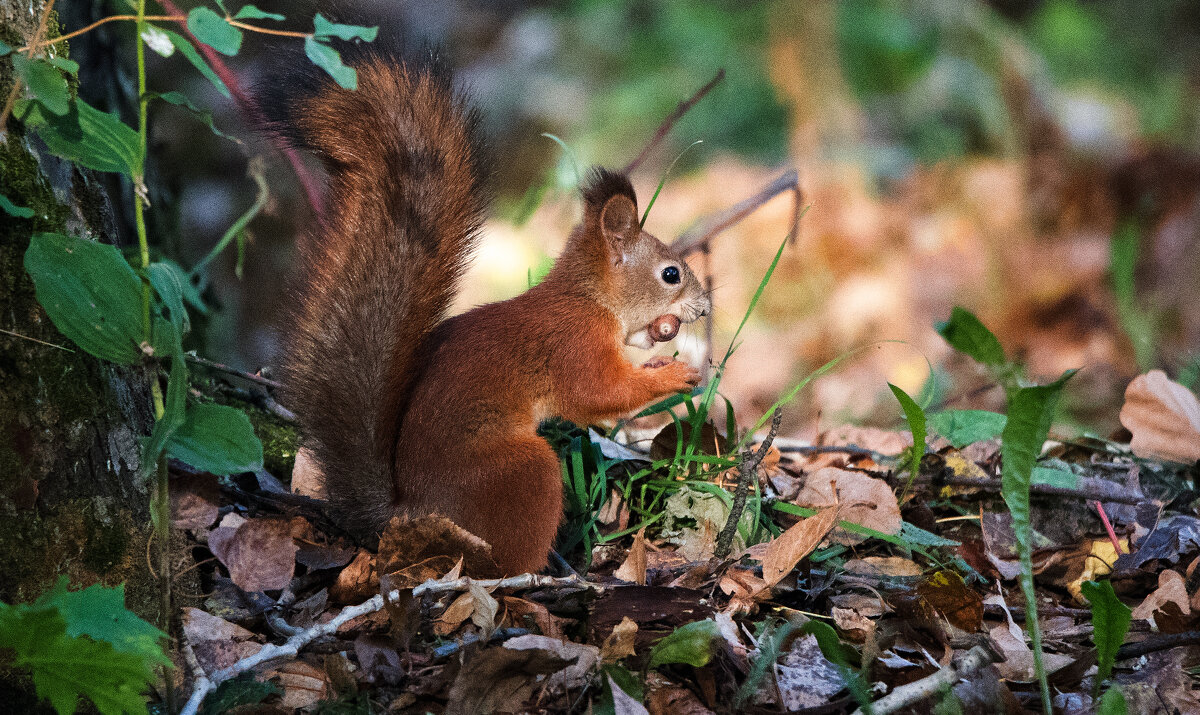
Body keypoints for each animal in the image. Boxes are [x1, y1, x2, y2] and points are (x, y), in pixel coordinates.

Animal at [267, 48, 705, 575]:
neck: (586, 298)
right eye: (671, 274)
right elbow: (597, 394)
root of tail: (409, 515)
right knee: (503, 558)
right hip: (522, 471)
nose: (705, 306)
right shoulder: (574, 343)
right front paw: (674, 375)